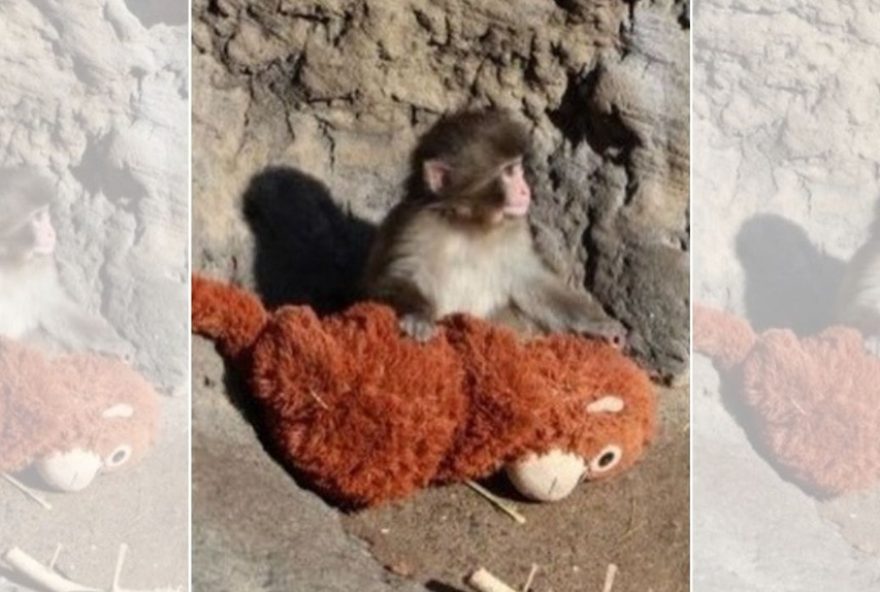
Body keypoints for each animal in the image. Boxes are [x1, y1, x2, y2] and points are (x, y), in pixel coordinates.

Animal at [0, 166, 133, 358]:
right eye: (37, 218)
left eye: (45, 214)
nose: (51, 231)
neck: (9, 263)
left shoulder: (39, 268)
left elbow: (55, 307)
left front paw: (114, 344)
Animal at [362, 109, 626, 346]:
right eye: (509, 172)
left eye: (518, 168)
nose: (525, 190)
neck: (470, 225)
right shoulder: (416, 226)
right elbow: (393, 277)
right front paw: (418, 315)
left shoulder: (515, 233)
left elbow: (532, 282)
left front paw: (599, 325)